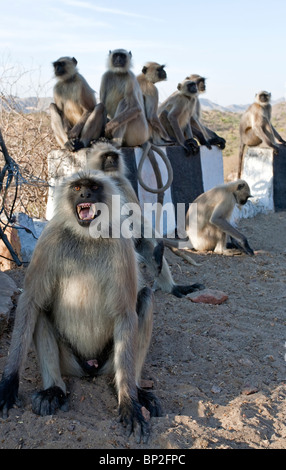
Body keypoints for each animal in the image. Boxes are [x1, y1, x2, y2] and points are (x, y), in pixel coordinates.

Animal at [0, 171, 161, 442]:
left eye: (93, 187)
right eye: (77, 188)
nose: (85, 194)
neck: (87, 237)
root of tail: (90, 367)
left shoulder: (120, 242)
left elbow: (125, 313)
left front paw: (129, 403)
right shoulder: (50, 238)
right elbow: (30, 300)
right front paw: (9, 384)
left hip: (110, 361)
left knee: (146, 297)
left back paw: (132, 388)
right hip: (70, 362)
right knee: (39, 310)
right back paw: (54, 390)